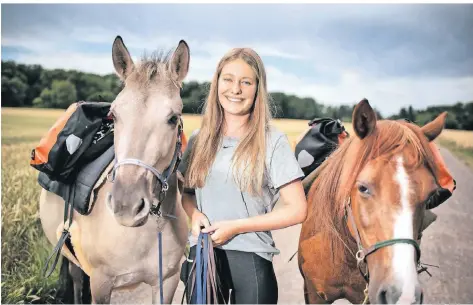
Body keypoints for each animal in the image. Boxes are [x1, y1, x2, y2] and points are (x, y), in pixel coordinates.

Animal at [39, 35, 190, 302]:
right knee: (76, 280)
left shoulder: (167, 283)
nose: (126, 206)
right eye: (114, 115)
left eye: (173, 118)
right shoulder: (101, 284)